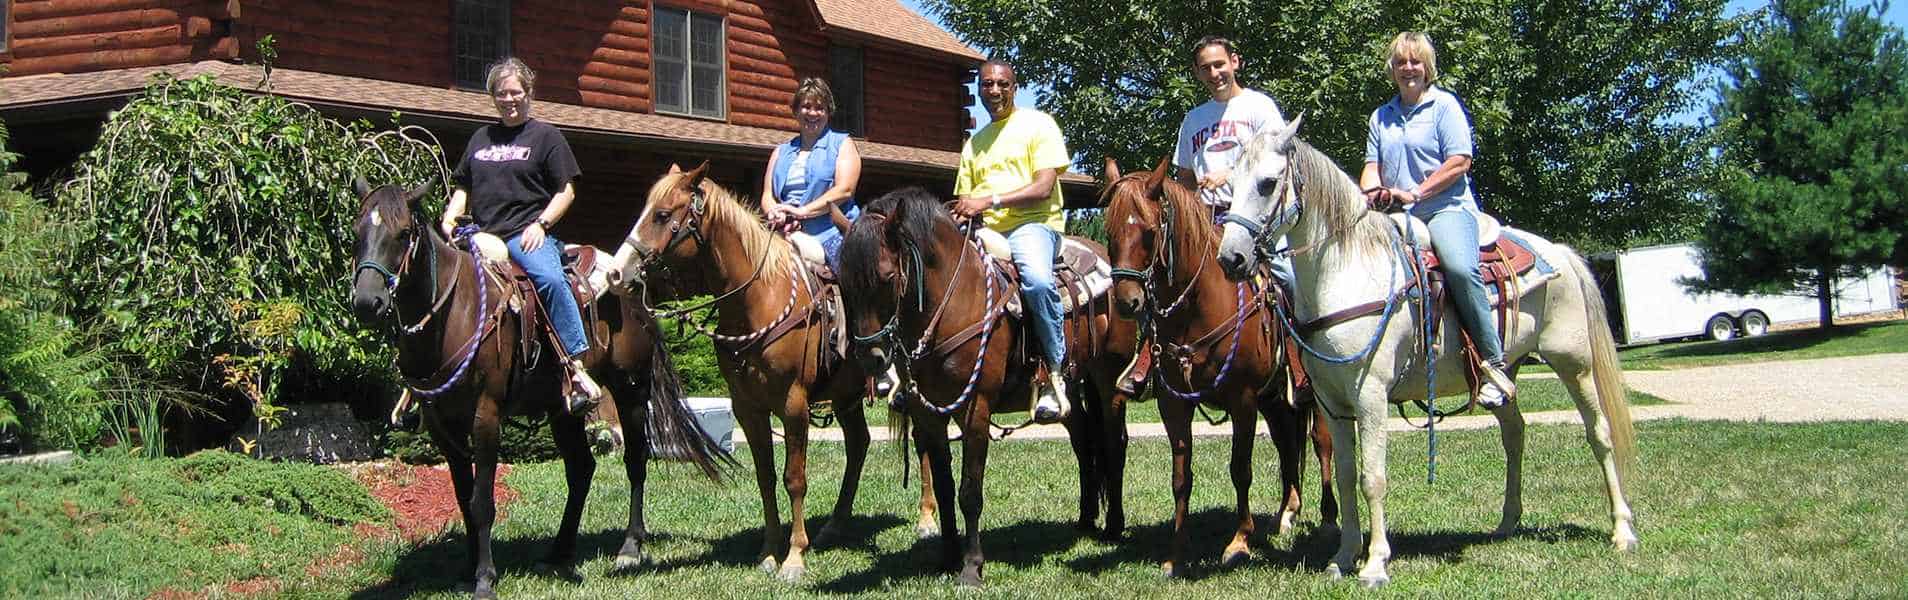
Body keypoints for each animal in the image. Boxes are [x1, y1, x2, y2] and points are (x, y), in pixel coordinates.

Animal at [347, 180, 725, 596]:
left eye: (402, 234)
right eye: (357, 233)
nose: (366, 301)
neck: (454, 315)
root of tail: (630, 289)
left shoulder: (486, 415)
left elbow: (482, 501)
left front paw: (485, 577)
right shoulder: (442, 424)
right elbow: (463, 497)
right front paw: (466, 570)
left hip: (631, 391)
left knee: (635, 460)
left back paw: (630, 546)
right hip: (564, 410)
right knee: (581, 469)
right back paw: (559, 552)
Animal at [606, 164, 881, 580]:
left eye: (663, 215)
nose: (616, 274)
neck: (761, 298)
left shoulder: (794, 404)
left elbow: (794, 478)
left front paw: (794, 557)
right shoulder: (747, 407)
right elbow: (766, 477)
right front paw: (768, 552)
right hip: (846, 396)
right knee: (859, 443)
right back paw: (834, 526)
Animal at [843, 186, 1137, 584]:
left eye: (887, 277)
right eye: (843, 281)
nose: (869, 357)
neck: (952, 303)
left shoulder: (975, 408)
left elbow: (970, 491)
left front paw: (971, 567)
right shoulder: (926, 412)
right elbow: (945, 485)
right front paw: (947, 557)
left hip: (1109, 381)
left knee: (1113, 443)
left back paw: (1113, 526)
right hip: (1073, 386)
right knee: (1082, 441)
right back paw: (1086, 520)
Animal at [1099, 158, 1335, 577]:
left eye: (1148, 232)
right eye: (1109, 232)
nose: (1128, 302)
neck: (1197, 309)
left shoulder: (1242, 400)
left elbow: (1240, 468)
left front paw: (1239, 542)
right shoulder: (1174, 404)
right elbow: (1181, 478)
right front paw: (1175, 553)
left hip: (1310, 395)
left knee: (1322, 443)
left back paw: (1327, 519)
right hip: (1275, 399)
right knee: (1286, 444)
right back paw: (1286, 514)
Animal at [1205, 117, 1640, 584]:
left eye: (1268, 183)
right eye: (1231, 183)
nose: (1231, 258)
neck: (1345, 272)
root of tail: (1559, 252)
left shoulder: (1371, 396)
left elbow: (1372, 477)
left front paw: (1375, 563)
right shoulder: (1331, 403)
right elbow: (1345, 476)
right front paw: (1343, 557)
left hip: (1574, 364)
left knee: (1599, 433)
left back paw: (1622, 531)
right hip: (1508, 372)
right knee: (1514, 434)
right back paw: (1507, 523)